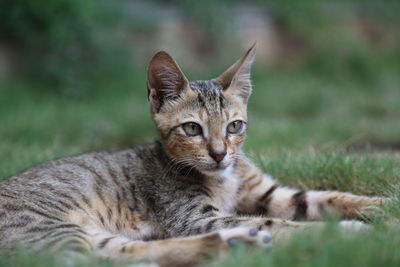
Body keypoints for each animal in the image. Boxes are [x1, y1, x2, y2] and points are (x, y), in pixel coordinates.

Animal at [0, 45, 384, 266]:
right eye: (192, 129)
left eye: (234, 126)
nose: (219, 154)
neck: (224, 177)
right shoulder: (196, 217)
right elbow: (280, 223)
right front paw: (347, 233)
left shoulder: (266, 193)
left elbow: (322, 197)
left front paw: (381, 205)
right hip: (53, 229)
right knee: (83, 262)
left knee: (118, 253)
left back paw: (236, 244)